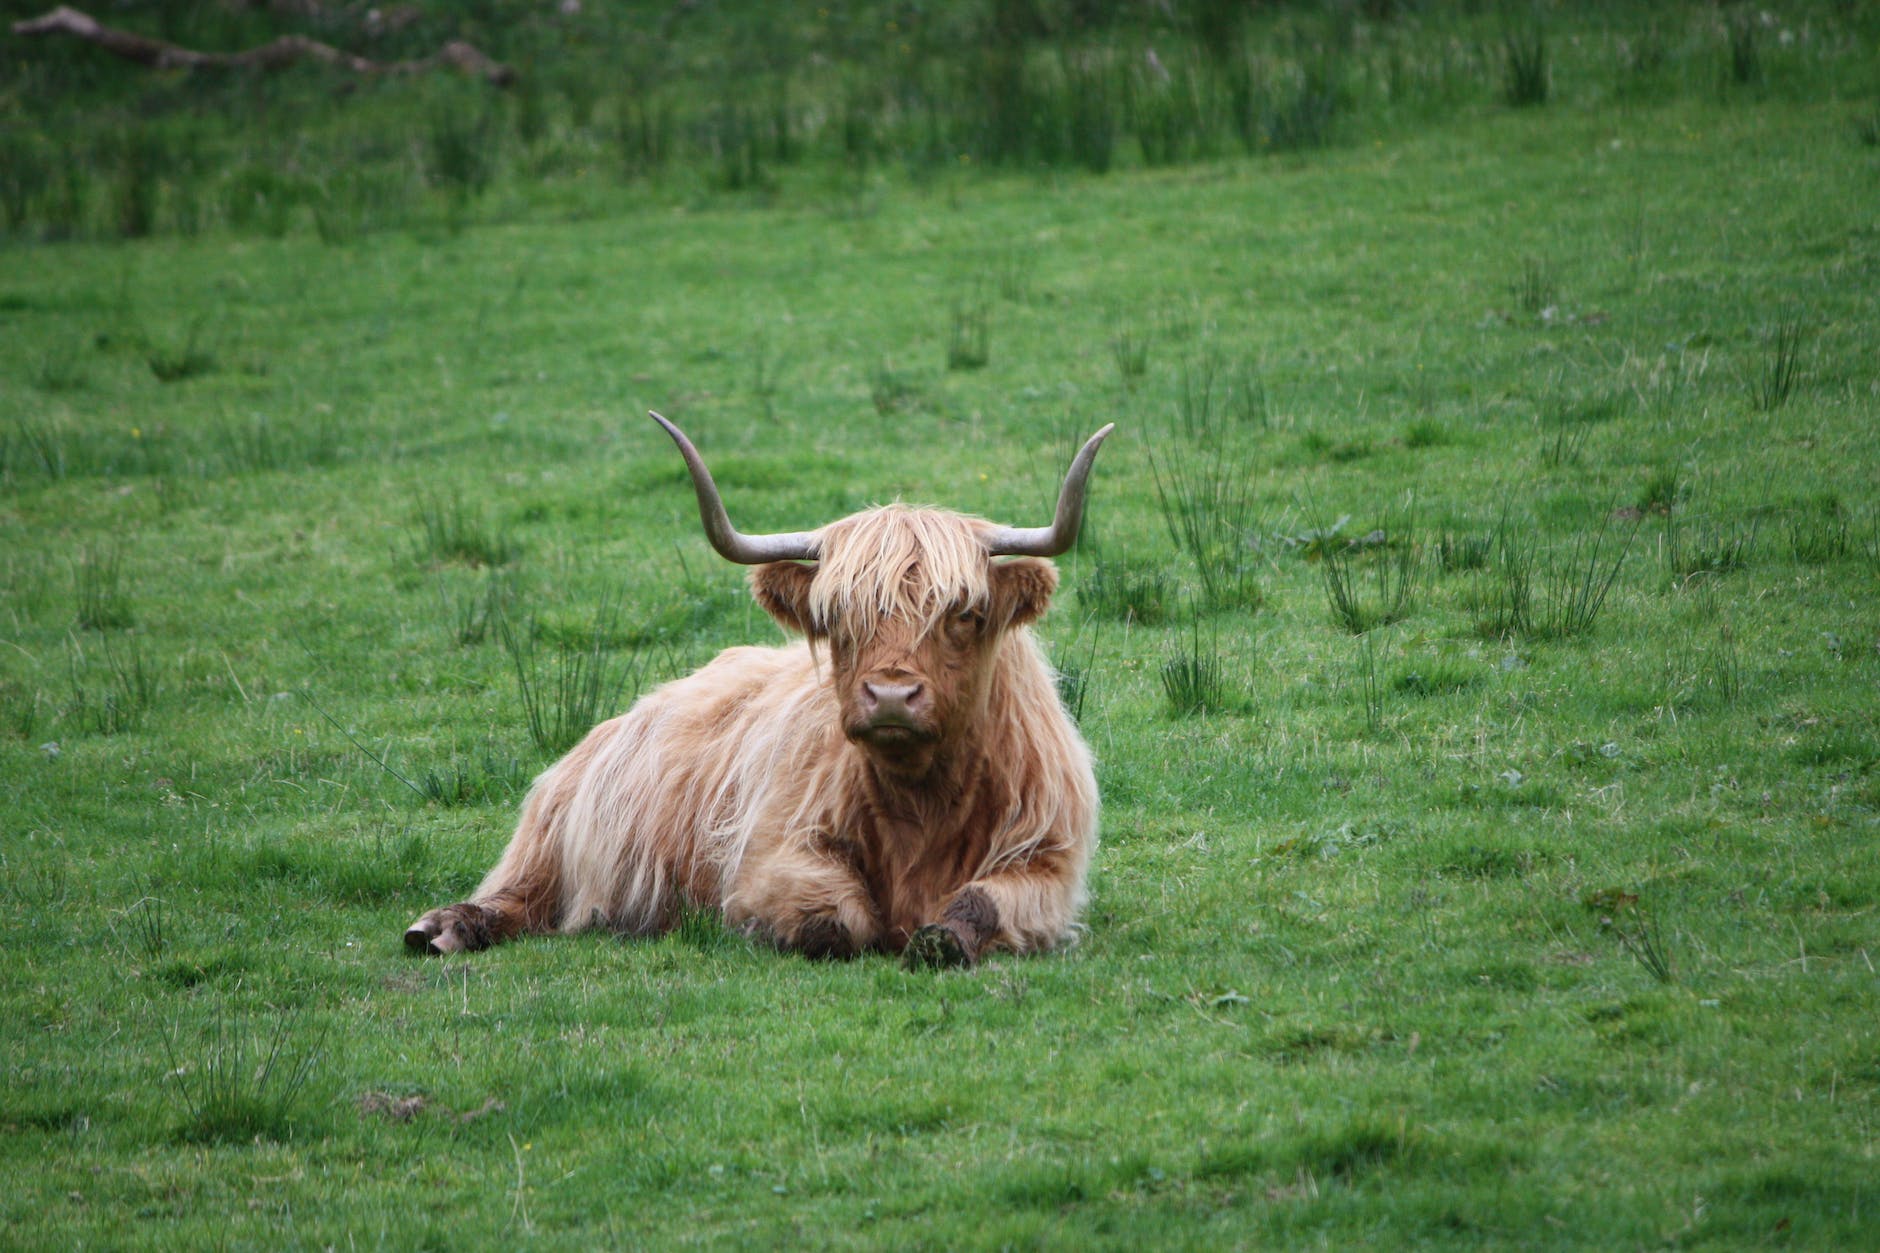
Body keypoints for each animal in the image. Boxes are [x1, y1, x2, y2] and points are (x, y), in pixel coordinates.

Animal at [403, 412, 1112, 968]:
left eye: (964, 612)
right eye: (836, 616)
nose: (889, 698)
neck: (921, 800)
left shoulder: (1046, 861)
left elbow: (978, 904)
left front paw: (938, 939)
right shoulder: (770, 856)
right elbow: (839, 920)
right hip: (555, 834)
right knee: (517, 892)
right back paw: (442, 927)